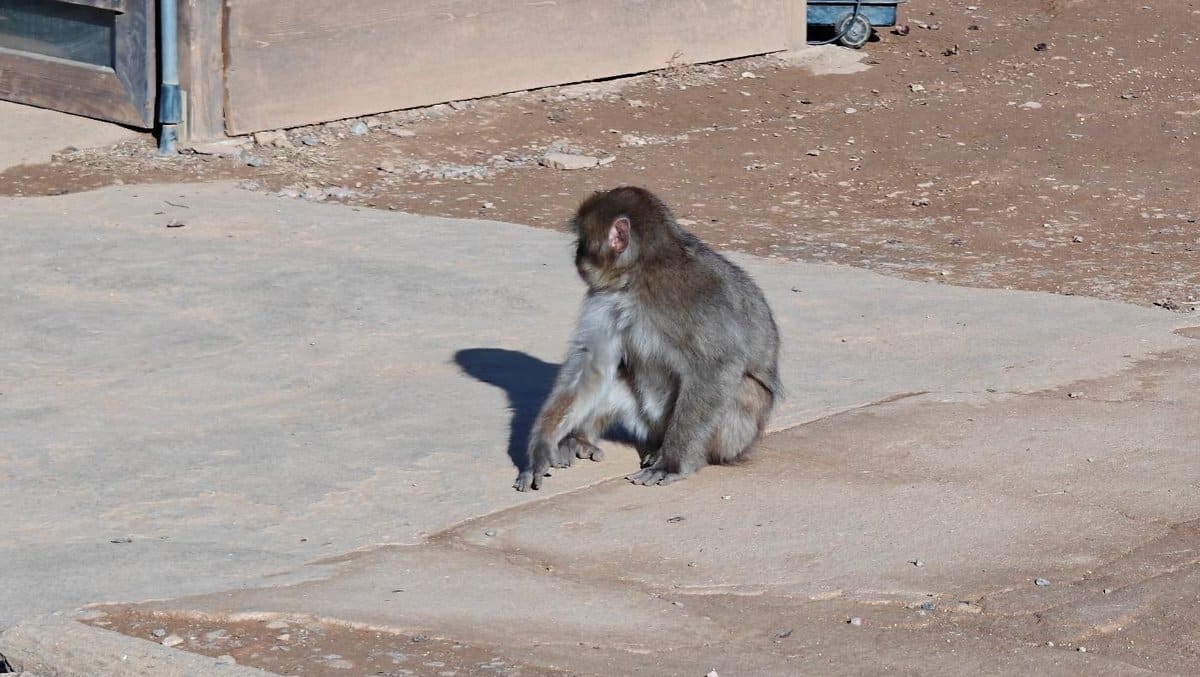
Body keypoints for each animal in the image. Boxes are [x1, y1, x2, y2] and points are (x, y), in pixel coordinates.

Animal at [513, 186, 781, 491]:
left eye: (583, 241)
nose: (578, 257)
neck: (641, 276)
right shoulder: (607, 298)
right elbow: (592, 364)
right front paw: (541, 449)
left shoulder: (706, 300)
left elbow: (716, 368)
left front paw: (672, 463)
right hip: (646, 419)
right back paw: (579, 438)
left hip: (734, 438)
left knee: (742, 388)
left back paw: (673, 454)